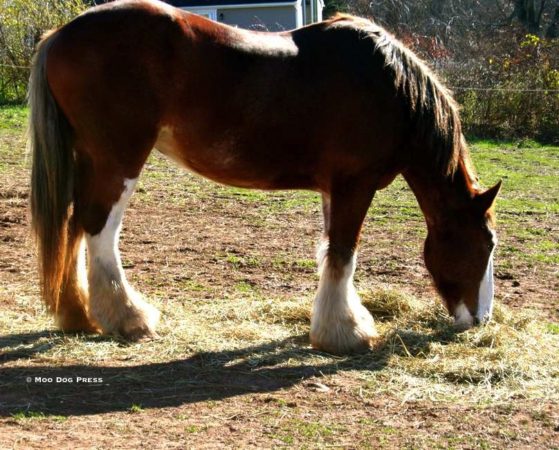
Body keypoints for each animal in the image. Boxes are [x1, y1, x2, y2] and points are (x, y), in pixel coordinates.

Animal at [28, 0, 504, 356]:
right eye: (485, 244)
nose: (479, 320)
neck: (390, 88)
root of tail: (59, 35)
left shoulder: (334, 189)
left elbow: (331, 252)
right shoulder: (355, 184)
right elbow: (344, 254)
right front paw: (345, 334)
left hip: (89, 158)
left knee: (73, 227)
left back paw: (79, 315)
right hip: (118, 158)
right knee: (99, 229)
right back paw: (129, 318)